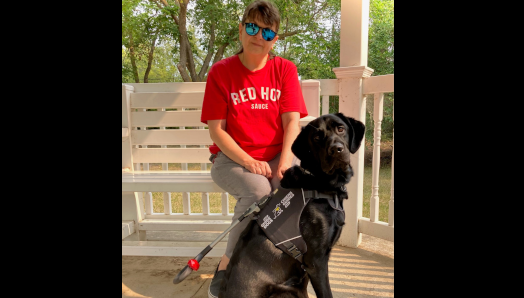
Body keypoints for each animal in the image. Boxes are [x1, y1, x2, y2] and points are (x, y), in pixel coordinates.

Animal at [218, 113, 364, 296]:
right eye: (316, 138)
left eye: (340, 128)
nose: (336, 149)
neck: (317, 182)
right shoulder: (316, 262)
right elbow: (326, 293)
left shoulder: (306, 270)